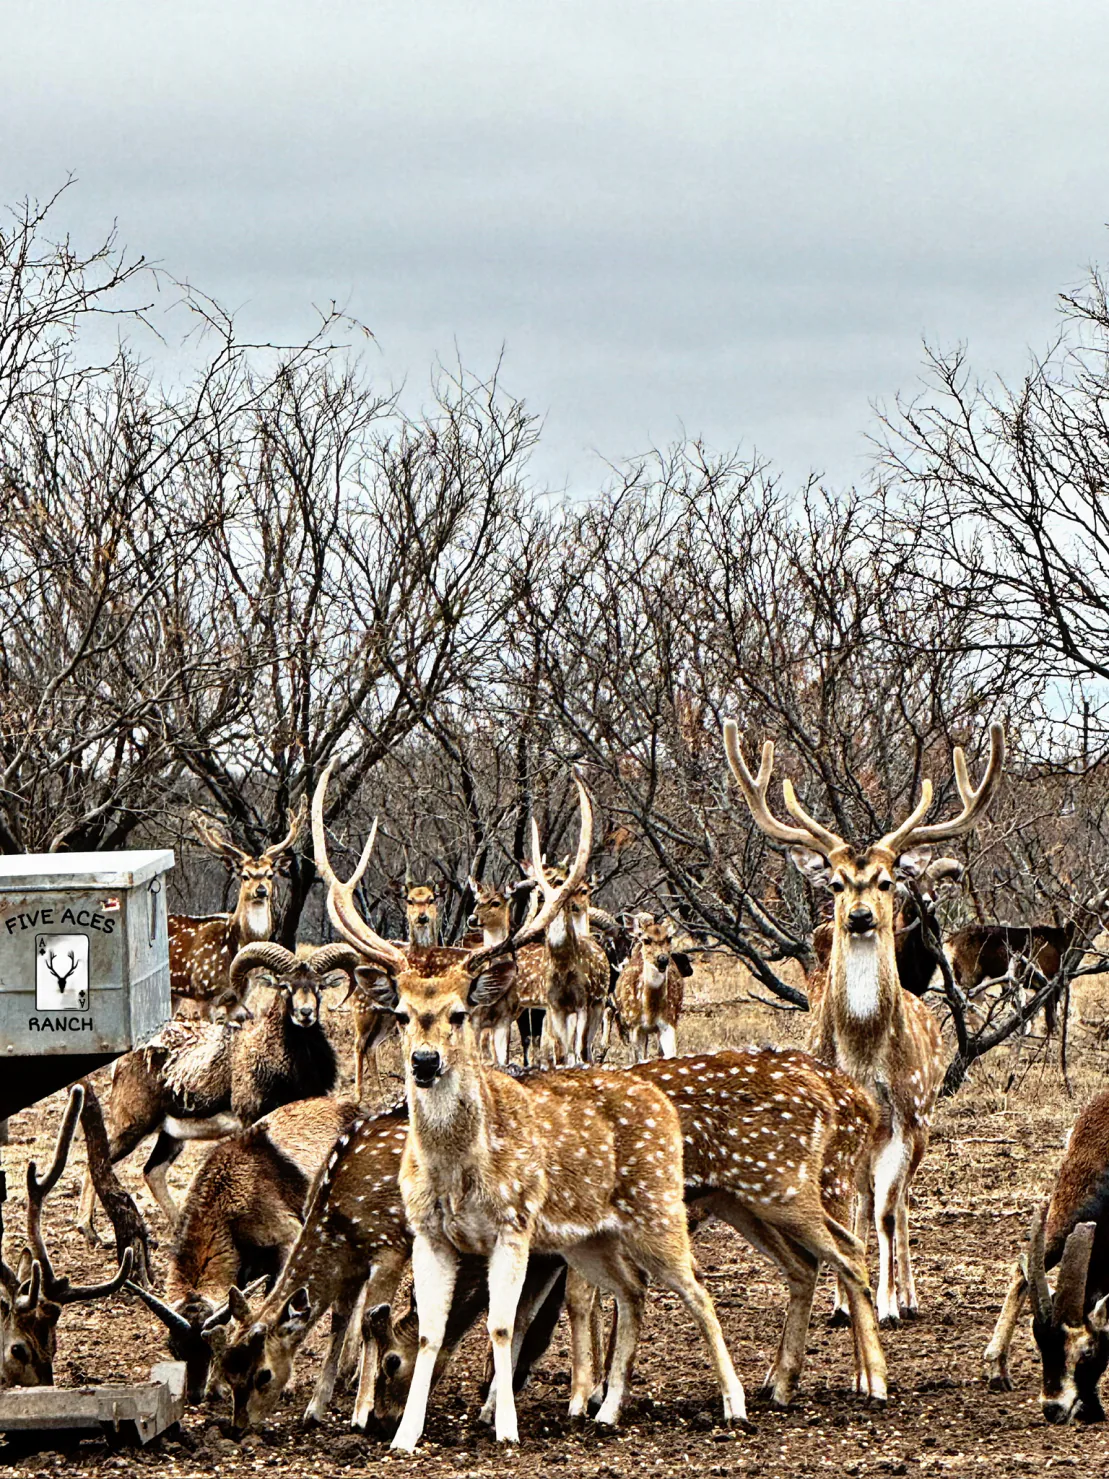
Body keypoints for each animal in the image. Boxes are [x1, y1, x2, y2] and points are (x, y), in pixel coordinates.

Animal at [77, 940, 355, 1242]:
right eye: (284, 986)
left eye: (319, 986)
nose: (305, 1013)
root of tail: (126, 1057)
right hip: (134, 1127)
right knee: (100, 1163)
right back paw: (88, 1230)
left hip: (171, 1135)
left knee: (153, 1172)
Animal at [169, 800, 307, 1018]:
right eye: (245, 875)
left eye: (269, 874)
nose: (261, 890)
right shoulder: (203, 993)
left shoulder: (239, 999)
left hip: (175, 995)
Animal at [724, 719, 1005, 1327]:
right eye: (835, 882)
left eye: (885, 881)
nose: (858, 916)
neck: (862, 1053)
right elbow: (840, 1214)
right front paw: (841, 1303)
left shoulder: (905, 1115)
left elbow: (886, 1214)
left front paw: (888, 1305)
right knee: (861, 1201)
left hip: (923, 1120)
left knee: (897, 1204)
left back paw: (908, 1295)